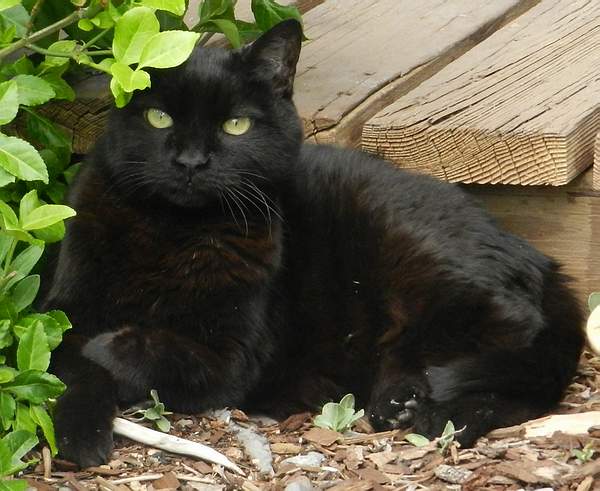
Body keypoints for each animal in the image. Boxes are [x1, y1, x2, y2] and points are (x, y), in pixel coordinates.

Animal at [43, 19, 584, 467]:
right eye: (159, 118)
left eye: (235, 125)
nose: (192, 162)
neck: (174, 233)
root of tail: (543, 261)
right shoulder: (62, 313)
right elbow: (76, 364)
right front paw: (79, 434)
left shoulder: (232, 359)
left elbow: (141, 350)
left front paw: (110, 349)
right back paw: (405, 404)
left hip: (419, 260)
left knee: (521, 346)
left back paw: (427, 410)